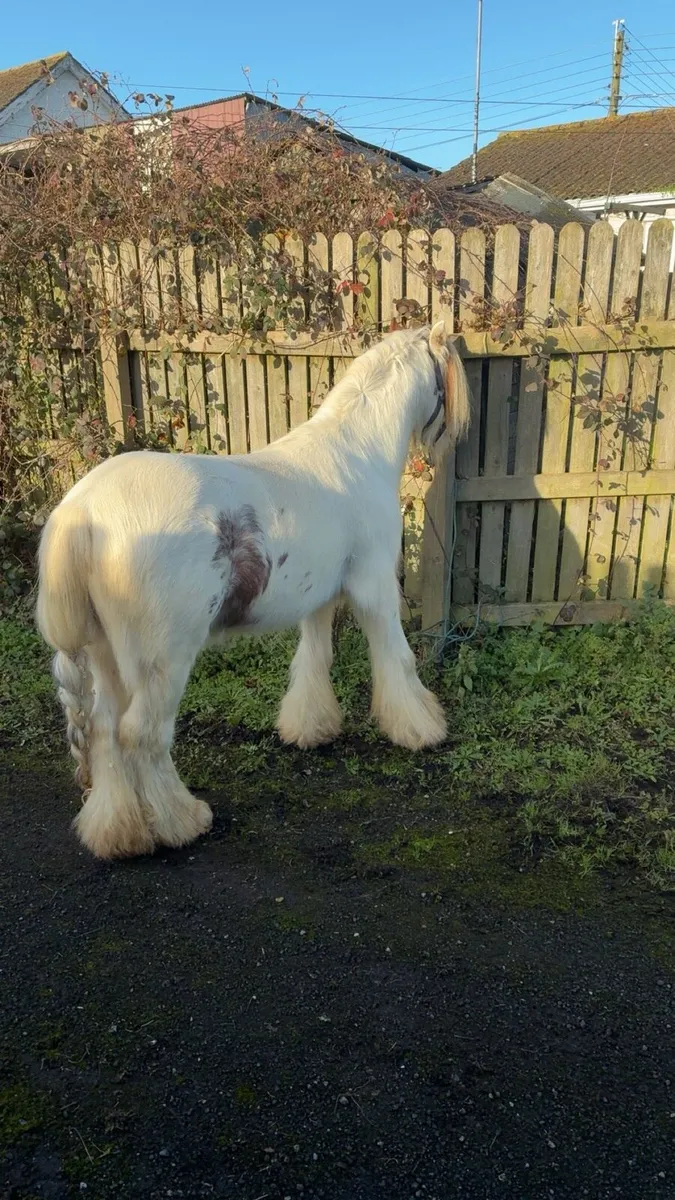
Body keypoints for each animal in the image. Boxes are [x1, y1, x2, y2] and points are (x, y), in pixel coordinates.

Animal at [36, 321, 470, 860]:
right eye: (444, 375)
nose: (449, 438)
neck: (355, 453)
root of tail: (83, 510)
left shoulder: (318, 598)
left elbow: (314, 661)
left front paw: (311, 729)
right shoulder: (374, 590)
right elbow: (398, 661)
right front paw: (420, 727)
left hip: (105, 656)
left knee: (104, 732)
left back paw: (120, 833)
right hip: (162, 661)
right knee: (141, 737)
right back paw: (182, 821)